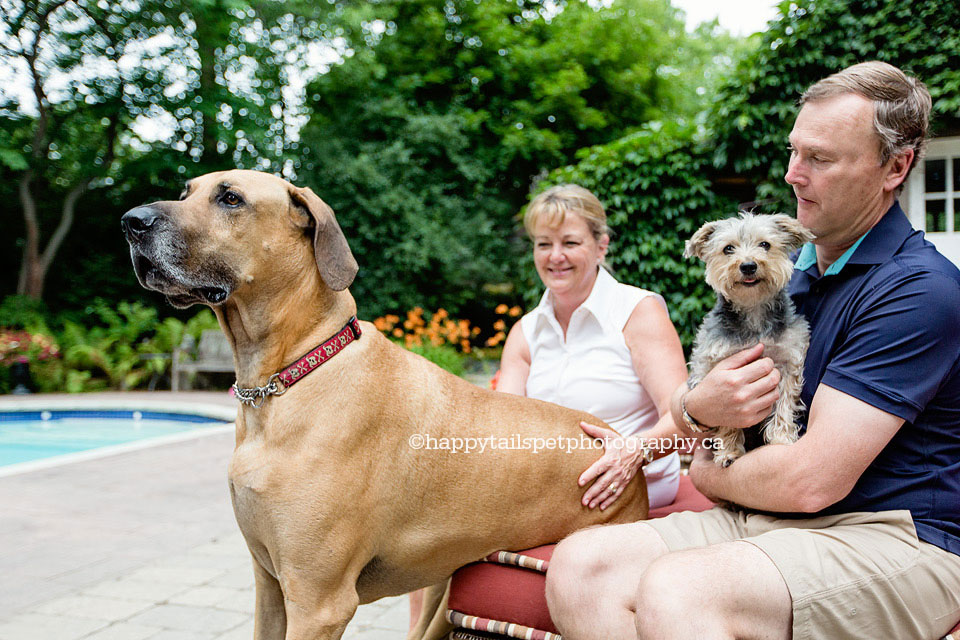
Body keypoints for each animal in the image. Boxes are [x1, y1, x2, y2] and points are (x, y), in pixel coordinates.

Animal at [122, 170, 644, 640]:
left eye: (230, 198)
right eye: (186, 191)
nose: (131, 221)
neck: (286, 377)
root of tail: (626, 454)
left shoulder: (318, 603)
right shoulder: (269, 587)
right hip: (443, 586)